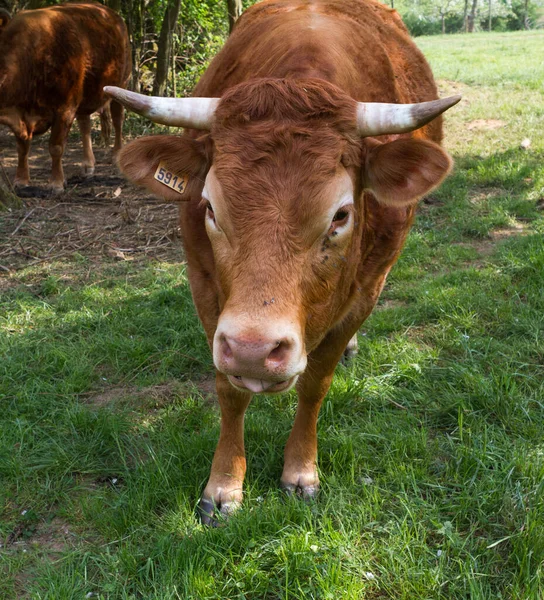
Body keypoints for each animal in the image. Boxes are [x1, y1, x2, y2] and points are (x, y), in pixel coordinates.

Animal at [0, 1, 131, 190]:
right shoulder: (22, 113)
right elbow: (22, 147)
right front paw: (21, 180)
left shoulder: (65, 107)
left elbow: (56, 146)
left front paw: (56, 183)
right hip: (84, 95)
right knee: (85, 124)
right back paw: (88, 164)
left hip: (121, 83)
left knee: (117, 118)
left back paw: (116, 155)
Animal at [105, 0, 460, 524]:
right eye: (210, 208)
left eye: (340, 215)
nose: (254, 350)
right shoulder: (204, 286)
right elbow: (229, 389)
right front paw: (224, 486)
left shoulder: (368, 288)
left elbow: (315, 382)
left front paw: (301, 471)